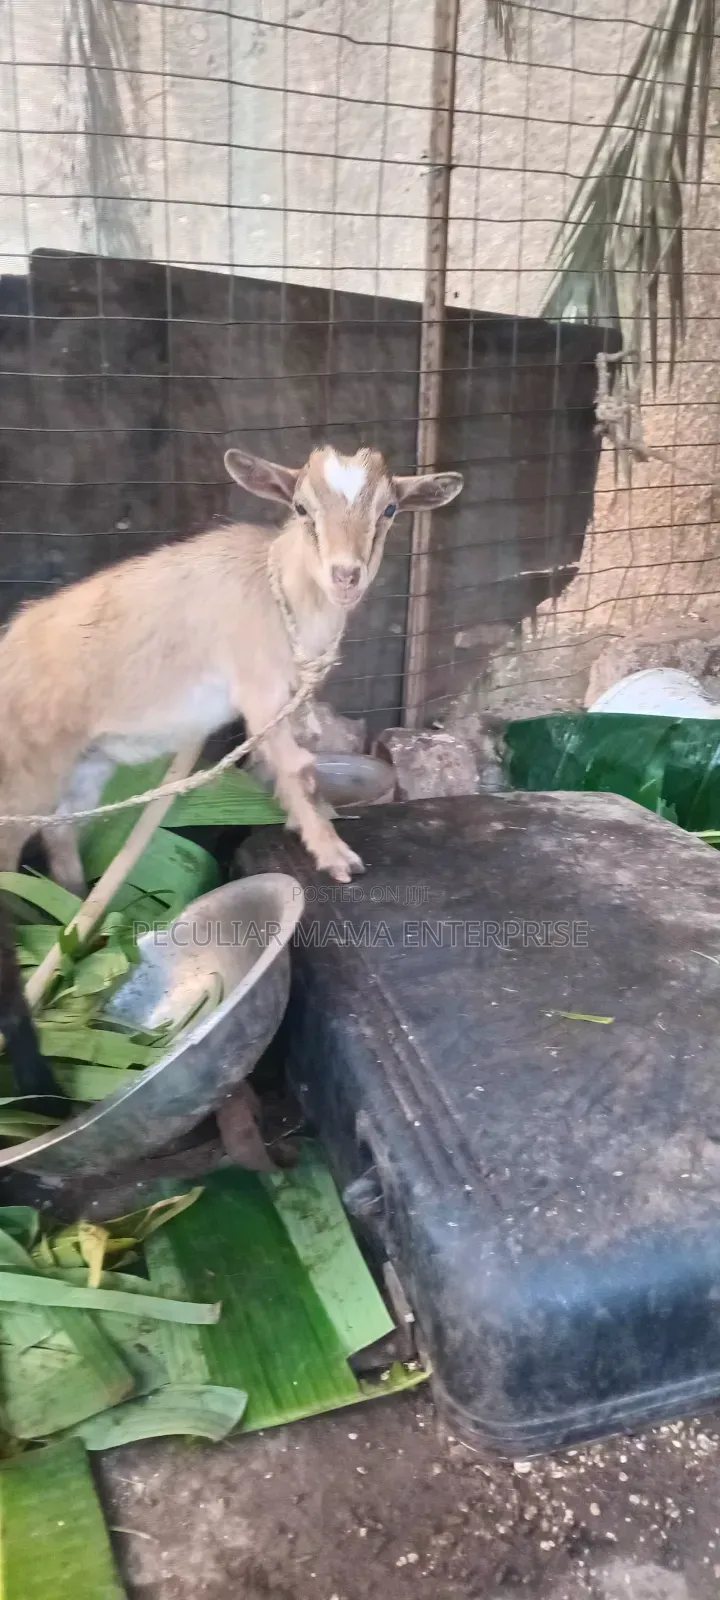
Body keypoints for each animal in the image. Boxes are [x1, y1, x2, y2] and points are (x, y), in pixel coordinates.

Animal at [0, 443, 462, 893]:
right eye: (301, 507)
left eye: (390, 509)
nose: (346, 575)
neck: (280, 590)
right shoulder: (258, 687)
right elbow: (298, 767)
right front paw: (333, 855)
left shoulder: (289, 697)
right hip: (26, 766)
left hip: (87, 762)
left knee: (59, 829)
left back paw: (72, 900)